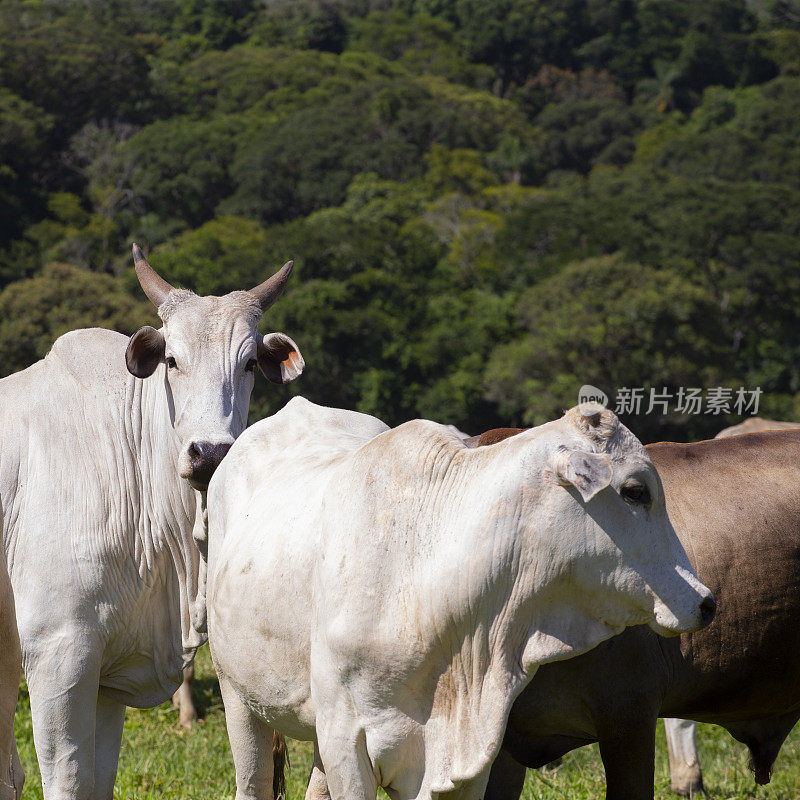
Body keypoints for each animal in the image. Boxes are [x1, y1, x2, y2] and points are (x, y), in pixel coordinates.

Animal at [0, 245, 304, 800]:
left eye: (250, 362)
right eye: (172, 360)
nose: (210, 454)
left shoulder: (108, 674)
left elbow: (97, 781)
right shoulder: (56, 651)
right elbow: (66, 777)